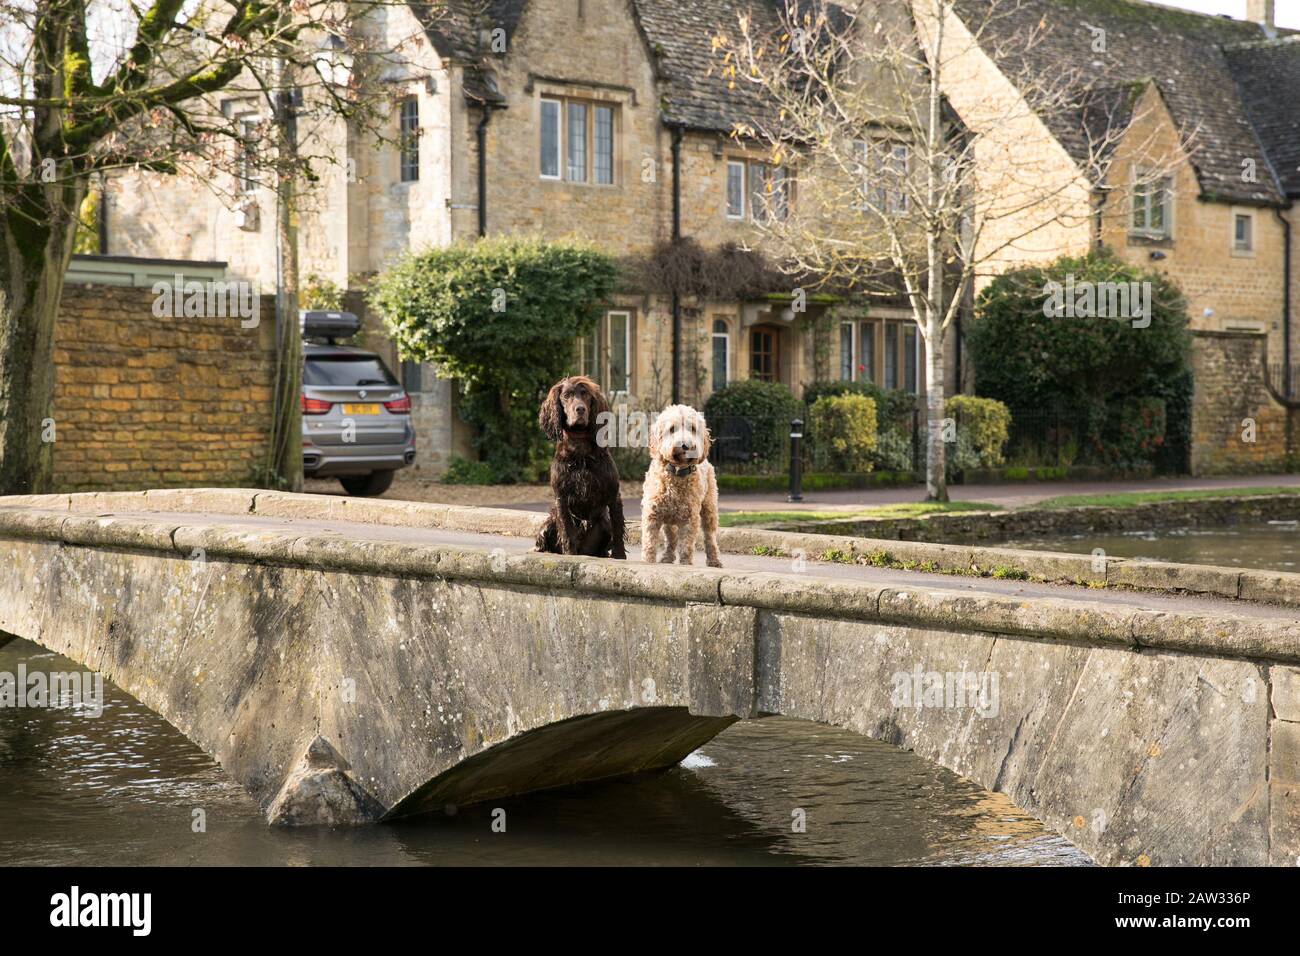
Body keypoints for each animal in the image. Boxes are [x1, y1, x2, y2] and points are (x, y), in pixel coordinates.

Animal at [639, 403, 722, 567]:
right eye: (672, 429)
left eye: (693, 429)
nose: (685, 445)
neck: (677, 472)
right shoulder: (652, 514)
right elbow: (649, 542)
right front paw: (648, 561)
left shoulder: (690, 519)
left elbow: (686, 546)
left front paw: (685, 564)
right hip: (669, 520)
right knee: (671, 538)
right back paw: (667, 557)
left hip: (709, 509)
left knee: (710, 536)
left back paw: (714, 560)